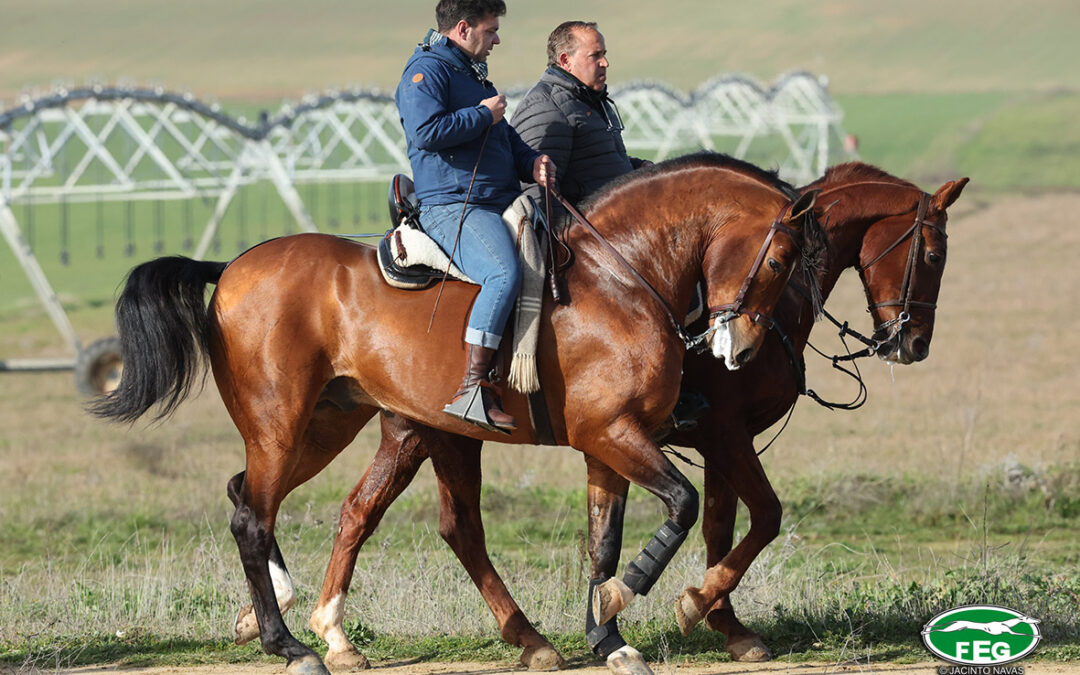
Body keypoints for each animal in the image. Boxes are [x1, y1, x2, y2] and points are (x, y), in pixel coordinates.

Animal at [95, 151, 816, 673]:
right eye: (782, 257)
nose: (741, 348)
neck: (620, 277)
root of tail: (234, 265)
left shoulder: (610, 441)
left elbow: (605, 536)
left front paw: (609, 635)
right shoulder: (613, 433)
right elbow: (682, 504)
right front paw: (642, 598)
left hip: (333, 426)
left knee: (273, 498)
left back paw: (319, 625)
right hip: (285, 425)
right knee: (254, 515)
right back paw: (291, 643)